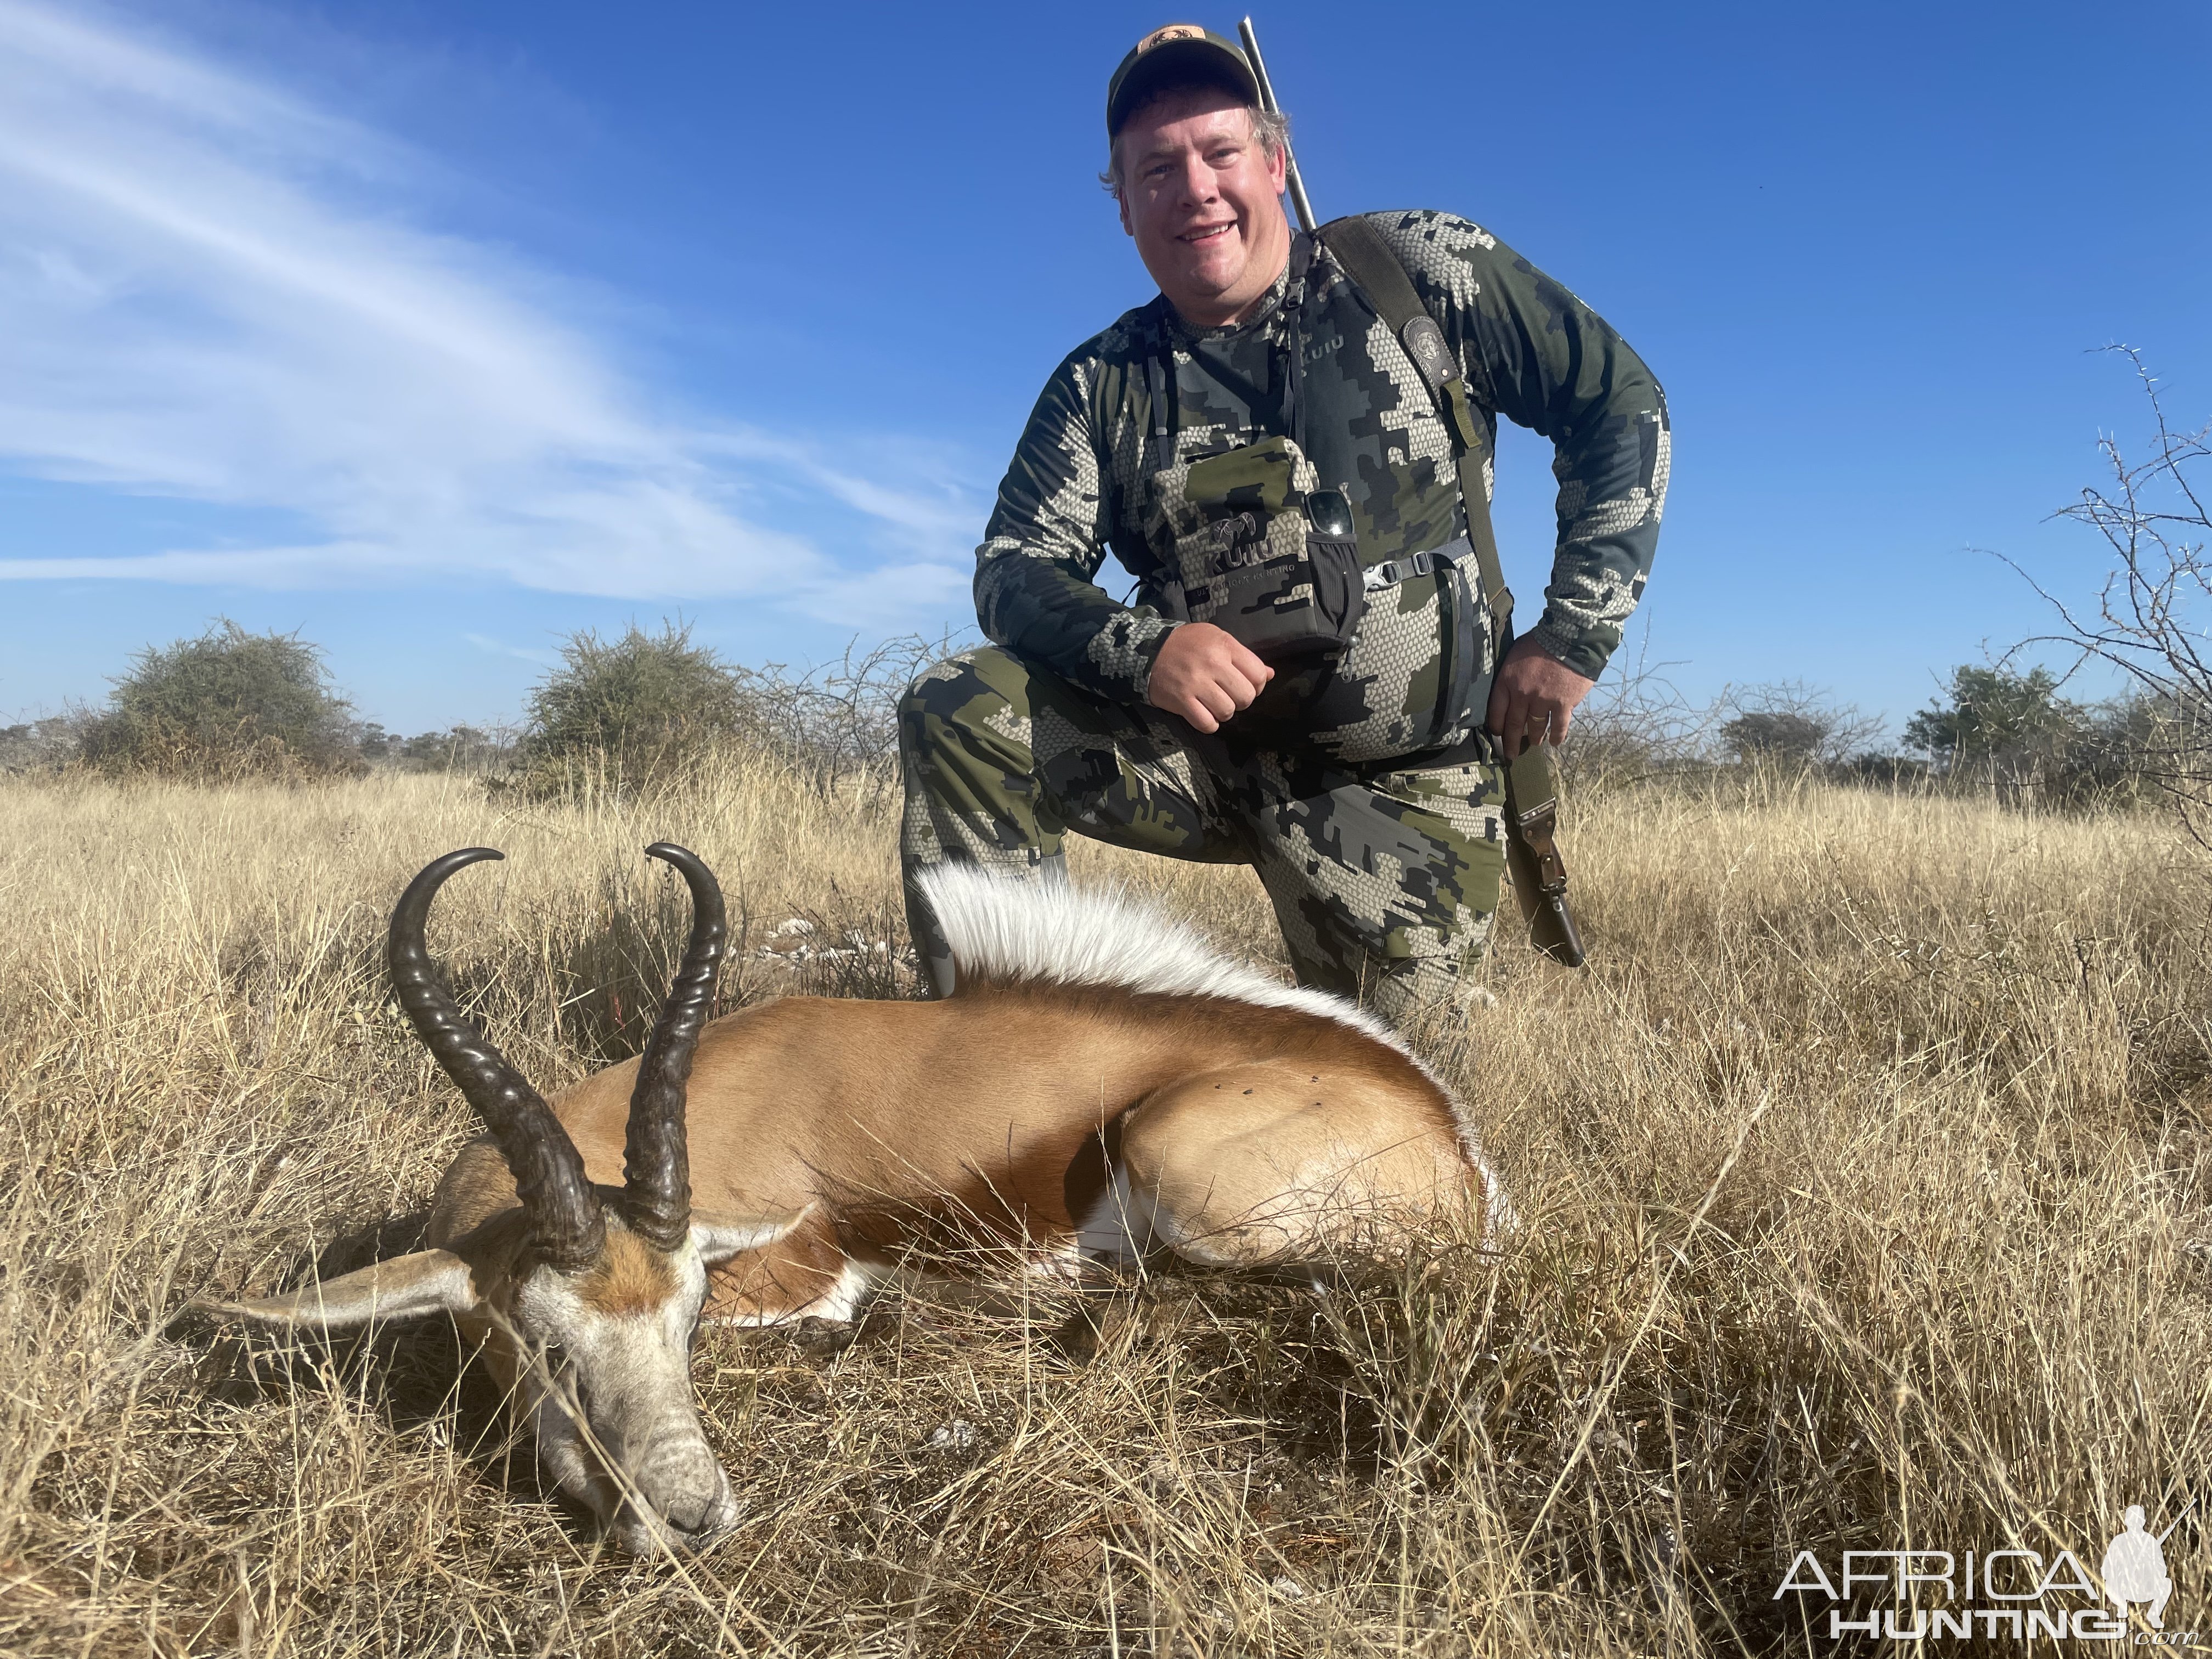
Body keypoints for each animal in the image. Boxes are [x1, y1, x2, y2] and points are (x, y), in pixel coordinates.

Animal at [203, 849, 1504, 1557]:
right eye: (544, 1343)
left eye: (685, 1319)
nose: (693, 1516)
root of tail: (1444, 1127)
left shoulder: (798, 1266)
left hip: (1181, 1171)